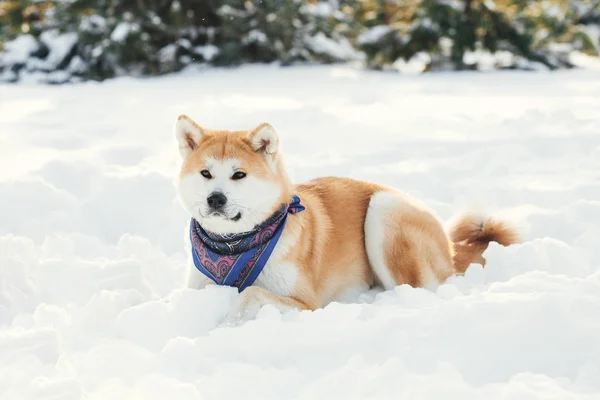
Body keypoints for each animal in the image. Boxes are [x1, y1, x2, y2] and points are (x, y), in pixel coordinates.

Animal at [175, 114, 520, 320]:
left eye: (239, 175)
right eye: (206, 173)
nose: (215, 198)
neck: (235, 247)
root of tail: (449, 246)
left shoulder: (306, 304)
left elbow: (251, 294)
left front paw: (228, 323)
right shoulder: (198, 287)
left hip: (383, 210)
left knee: (418, 289)